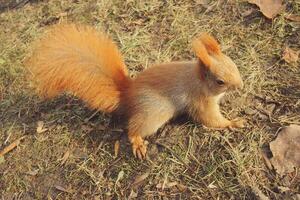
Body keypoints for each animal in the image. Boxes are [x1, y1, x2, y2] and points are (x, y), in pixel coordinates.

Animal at [25, 23, 245, 159]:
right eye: (220, 81)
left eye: (233, 63)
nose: (241, 85)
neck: (198, 80)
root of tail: (127, 94)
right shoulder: (201, 102)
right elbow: (211, 120)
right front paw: (232, 122)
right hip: (153, 114)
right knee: (132, 129)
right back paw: (138, 143)